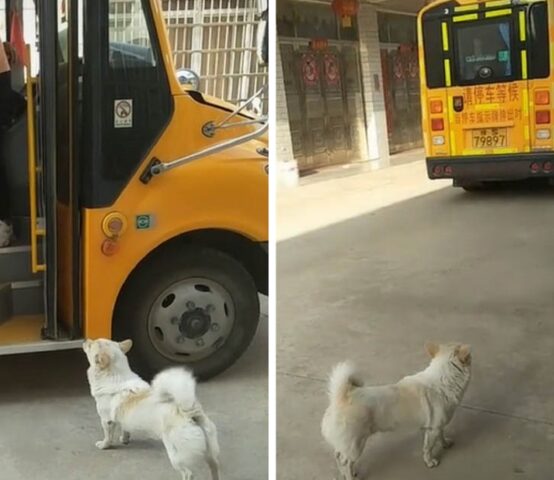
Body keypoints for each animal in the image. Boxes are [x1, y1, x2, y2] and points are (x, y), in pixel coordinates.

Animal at [83, 338, 219, 480]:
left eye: (91, 345)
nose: (86, 340)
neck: (116, 374)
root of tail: (188, 412)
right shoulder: (123, 418)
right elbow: (125, 428)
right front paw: (125, 439)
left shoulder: (106, 421)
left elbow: (108, 436)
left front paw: (104, 445)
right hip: (210, 452)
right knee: (214, 466)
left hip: (176, 456)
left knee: (188, 473)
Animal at [320, 344, 470, 478]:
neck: (443, 380)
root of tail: (342, 398)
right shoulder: (432, 429)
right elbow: (428, 448)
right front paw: (429, 462)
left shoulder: (436, 427)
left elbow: (441, 436)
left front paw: (445, 444)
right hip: (355, 446)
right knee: (346, 462)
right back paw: (349, 475)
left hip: (346, 444)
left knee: (338, 456)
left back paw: (345, 473)